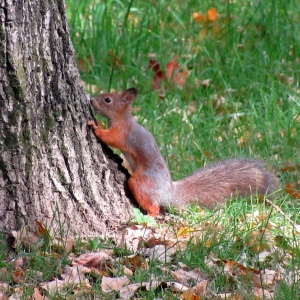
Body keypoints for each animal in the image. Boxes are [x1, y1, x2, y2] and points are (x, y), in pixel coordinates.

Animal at [86, 88, 278, 217]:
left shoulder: (122, 133)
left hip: (141, 183)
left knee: (154, 205)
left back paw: (149, 215)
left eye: (108, 99)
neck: (123, 118)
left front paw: (94, 126)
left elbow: (110, 138)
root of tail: (168, 192)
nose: (91, 100)